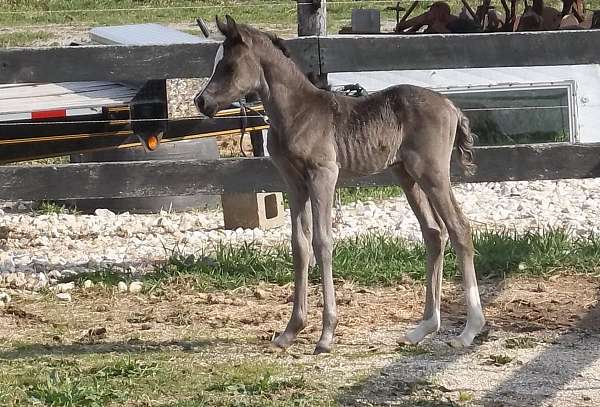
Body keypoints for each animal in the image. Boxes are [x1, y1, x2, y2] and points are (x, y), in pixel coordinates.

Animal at [195, 15, 486, 354]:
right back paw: (423, 328)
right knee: (434, 233)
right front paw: (290, 331)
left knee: (459, 229)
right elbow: (300, 244)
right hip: (406, 175)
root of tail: (450, 105)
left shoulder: (324, 175)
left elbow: (322, 242)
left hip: (433, 174)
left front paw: (326, 335)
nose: (201, 101)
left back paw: (469, 330)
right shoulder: (293, 182)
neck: (297, 112)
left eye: (228, 66)